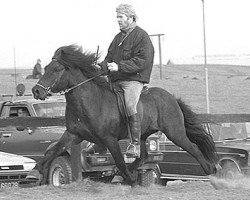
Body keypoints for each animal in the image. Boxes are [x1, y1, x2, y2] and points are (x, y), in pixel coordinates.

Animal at [28, 45, 218, 186]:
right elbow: (52, 151)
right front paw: (34, 173)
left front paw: (129, 178)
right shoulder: (73, 135)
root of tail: (171, 97)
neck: (89, 102)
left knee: (193, 147)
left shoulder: (109, 139)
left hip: (175, 132)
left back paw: (212, 171)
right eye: (45, 68)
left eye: (57, 69)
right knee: (144, 156)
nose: (36, 91)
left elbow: (119, 160)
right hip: (142, 136)